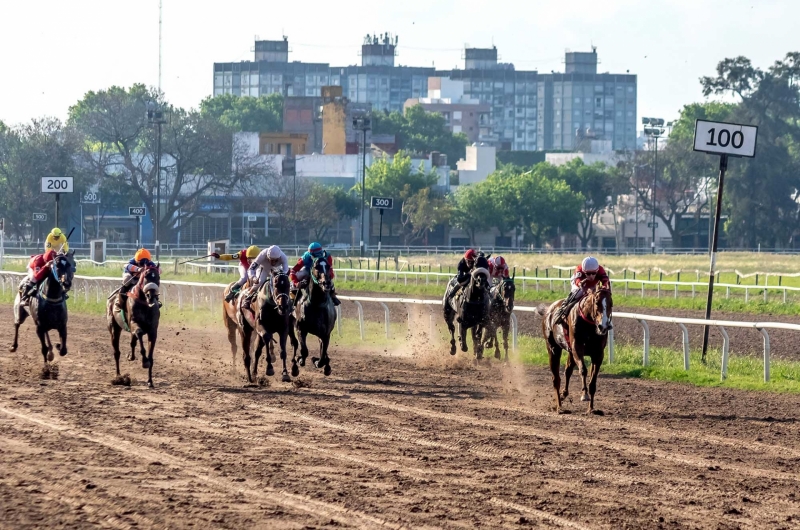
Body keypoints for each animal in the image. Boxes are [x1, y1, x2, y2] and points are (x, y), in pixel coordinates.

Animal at [536, 284, 612, 412]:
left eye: (611, 303)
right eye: (597, 303)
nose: (604, 326)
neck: (589, 325)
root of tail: (549, 310)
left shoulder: (598, 354)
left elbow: (593, 381)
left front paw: (591, 409)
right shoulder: (577, 349)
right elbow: (583, 370)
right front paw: (584, 394)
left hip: (570, 352)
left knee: (567, 371)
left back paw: (564, 394)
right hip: (553, 348)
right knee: (556, 379)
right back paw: (559, 407)